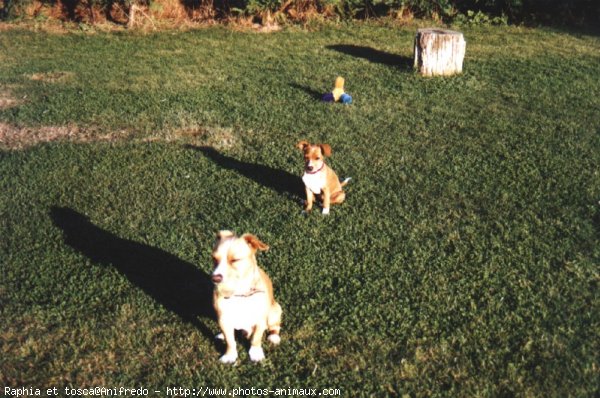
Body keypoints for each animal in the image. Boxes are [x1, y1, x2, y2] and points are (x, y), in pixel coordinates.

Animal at [211, 230, 282, 364]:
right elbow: (230, 341)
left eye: (235, 260)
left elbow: (256, 338)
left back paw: (274, 337)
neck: (239, 293)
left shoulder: (260, 319)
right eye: (214, 259)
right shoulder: (223, 318)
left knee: (274, 326)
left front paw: (256, 353)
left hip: (275, 310)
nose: (215, 278)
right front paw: (230, 355)